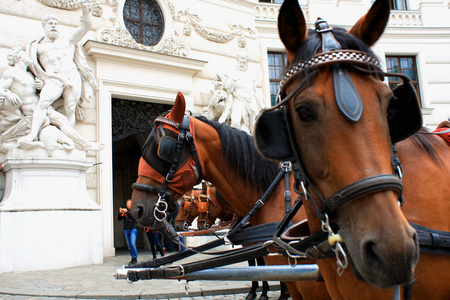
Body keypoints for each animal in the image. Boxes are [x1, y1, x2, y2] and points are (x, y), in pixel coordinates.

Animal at [130, 92, 330, 298]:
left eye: (162, 147)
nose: (137, 209)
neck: (274, 194)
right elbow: (256, 265)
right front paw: (258, 291)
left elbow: (259, 266)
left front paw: (264, 292)